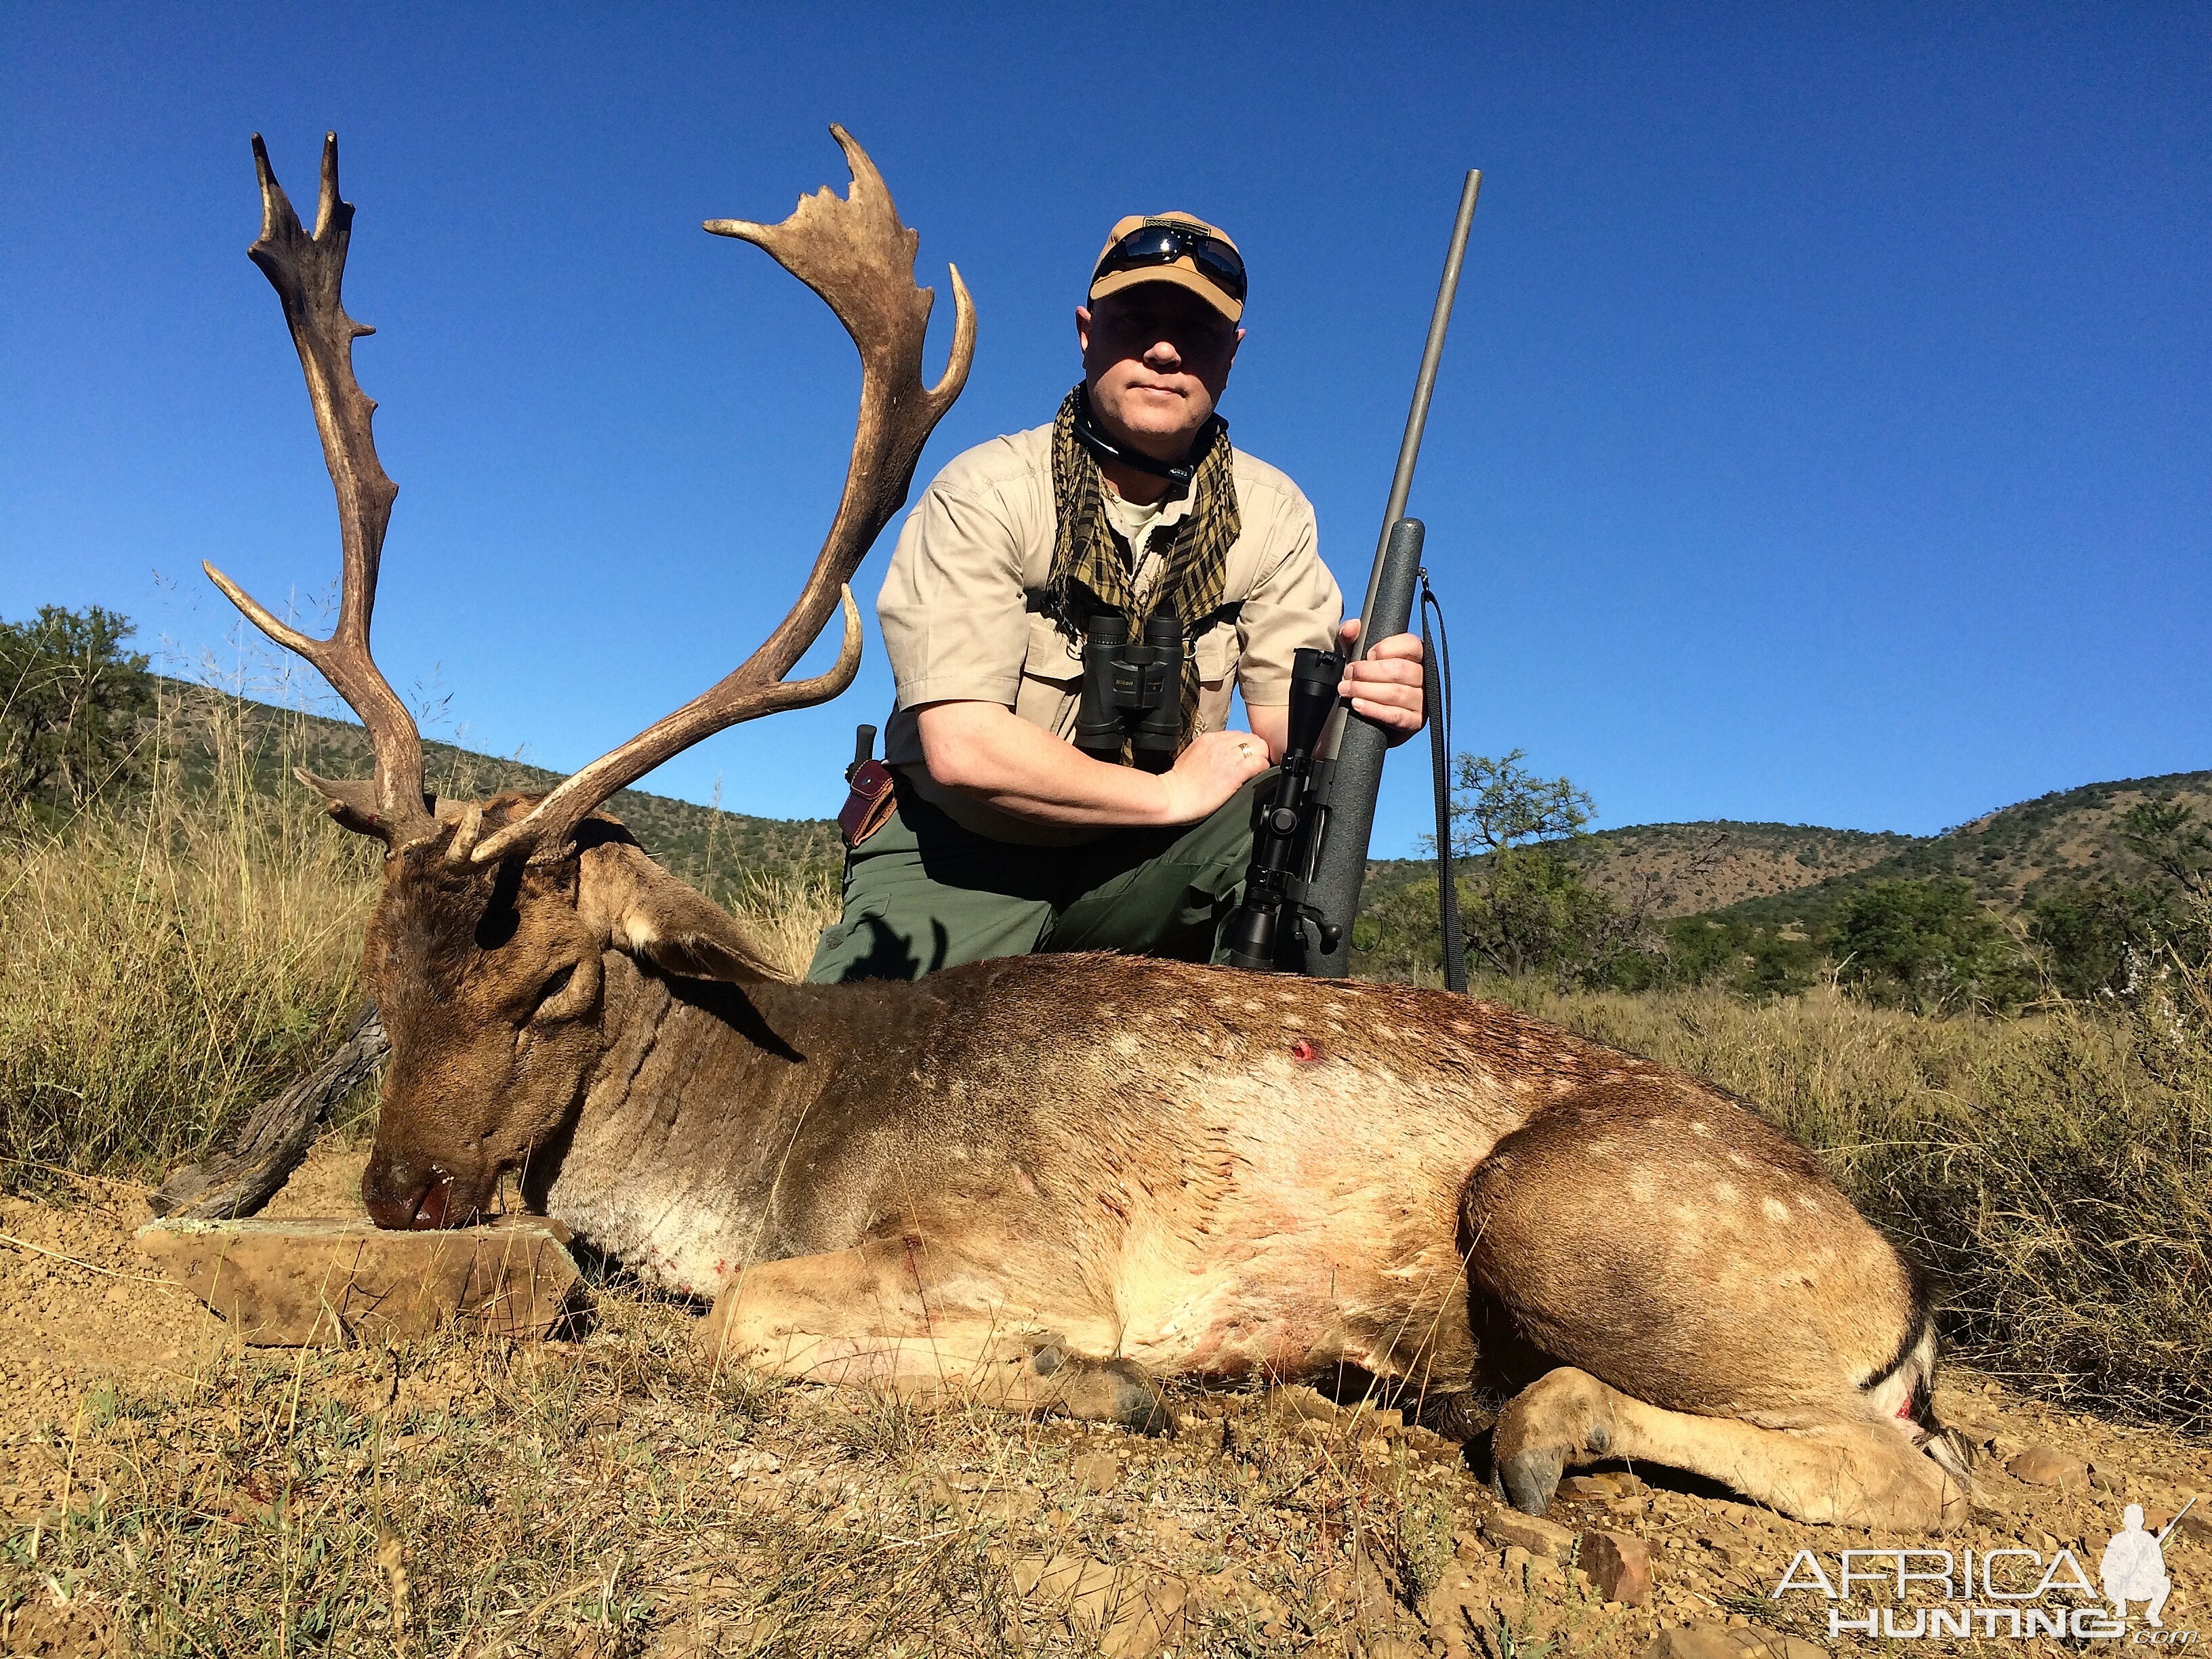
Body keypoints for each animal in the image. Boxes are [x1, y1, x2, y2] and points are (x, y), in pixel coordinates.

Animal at [211, 126, 1973, 1530]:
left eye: (556, 980)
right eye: (380, 967)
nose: (403, 1193)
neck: (785, 1134)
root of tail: (1904, 1292)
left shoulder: (1011, 1240)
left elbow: (751, 1323)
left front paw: (1114, 1379)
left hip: (1581, 1219)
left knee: (1911, 1476)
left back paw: (1535, 1433)